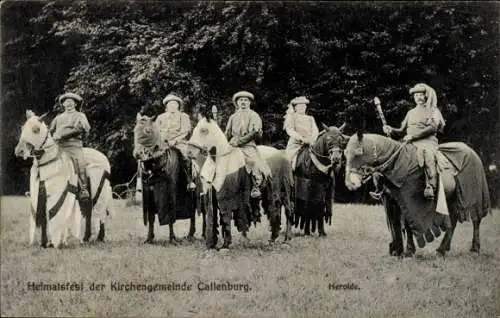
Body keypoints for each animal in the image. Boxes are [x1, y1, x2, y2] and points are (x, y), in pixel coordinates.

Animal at [14, 111, 114, 248]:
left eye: (36, 130)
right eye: (22, 128)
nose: (19, 151)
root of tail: (103, 156)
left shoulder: (54, 195)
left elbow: (51, 214)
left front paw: (53, 243)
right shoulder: (41, 194)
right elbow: (44, 218)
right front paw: (44, 243)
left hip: (100, 192)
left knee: (100, 214)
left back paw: (100, 238)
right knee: (89, 212)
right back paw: (86, 238)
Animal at [135, 114, 203, 243]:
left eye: (148, 130)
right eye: (134, 130)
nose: (137, 154)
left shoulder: (170, 189)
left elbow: (171, 213)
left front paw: (172, 238)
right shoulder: (149, 192)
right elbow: (151, 217)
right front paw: (149, 238)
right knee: (192, 213)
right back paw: (190, 234)